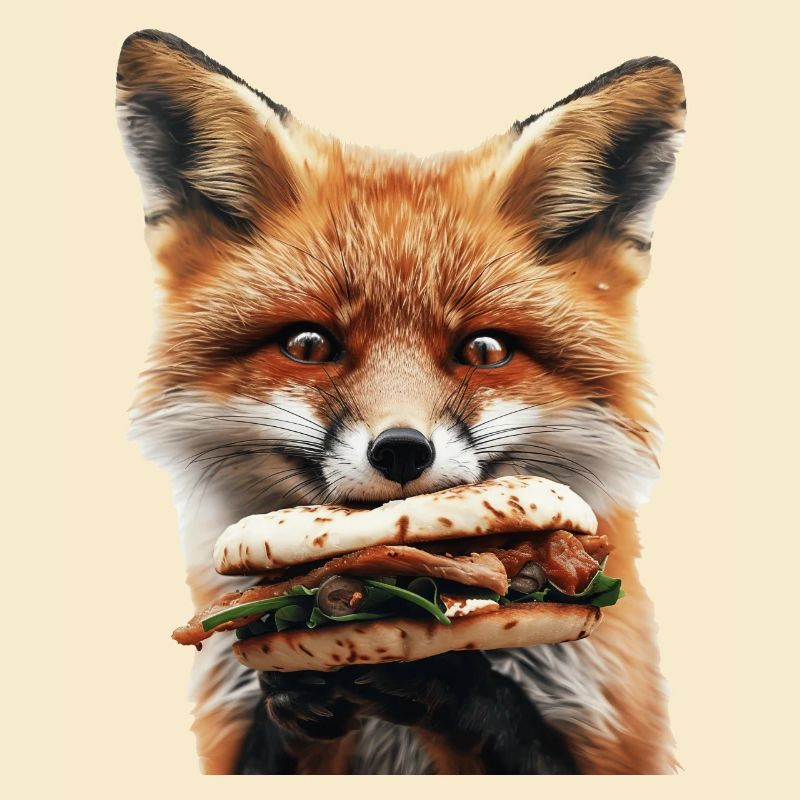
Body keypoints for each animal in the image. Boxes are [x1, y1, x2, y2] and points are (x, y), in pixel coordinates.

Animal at [117, 30, 686, 774]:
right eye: (308, 344)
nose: (401, 451)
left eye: (485, 350)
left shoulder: (614, 745)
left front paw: (449, 677)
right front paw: (301, 689)